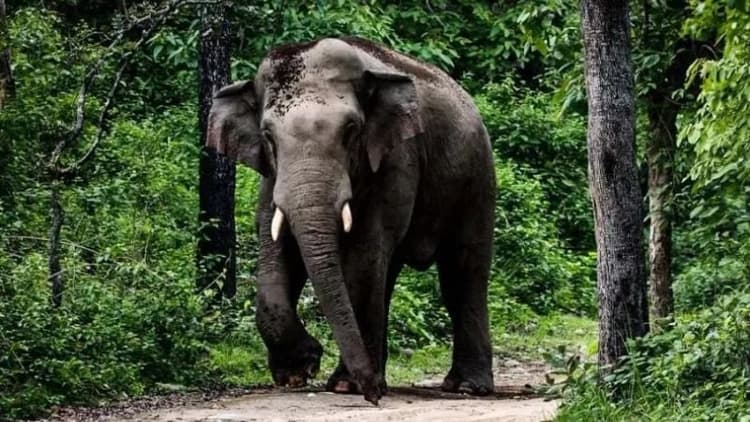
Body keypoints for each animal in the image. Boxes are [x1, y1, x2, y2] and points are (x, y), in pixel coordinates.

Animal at [206, 37, 495, 404]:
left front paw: (346, 385)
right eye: (267, 135)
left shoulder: (395, 159)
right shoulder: (272, 176)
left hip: (477, 177)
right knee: (391, 275)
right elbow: (276, 250)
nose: (374, 397)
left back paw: (467, 387)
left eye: (351, 130)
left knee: (462, 273)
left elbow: (364, 251)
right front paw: (299, 370)